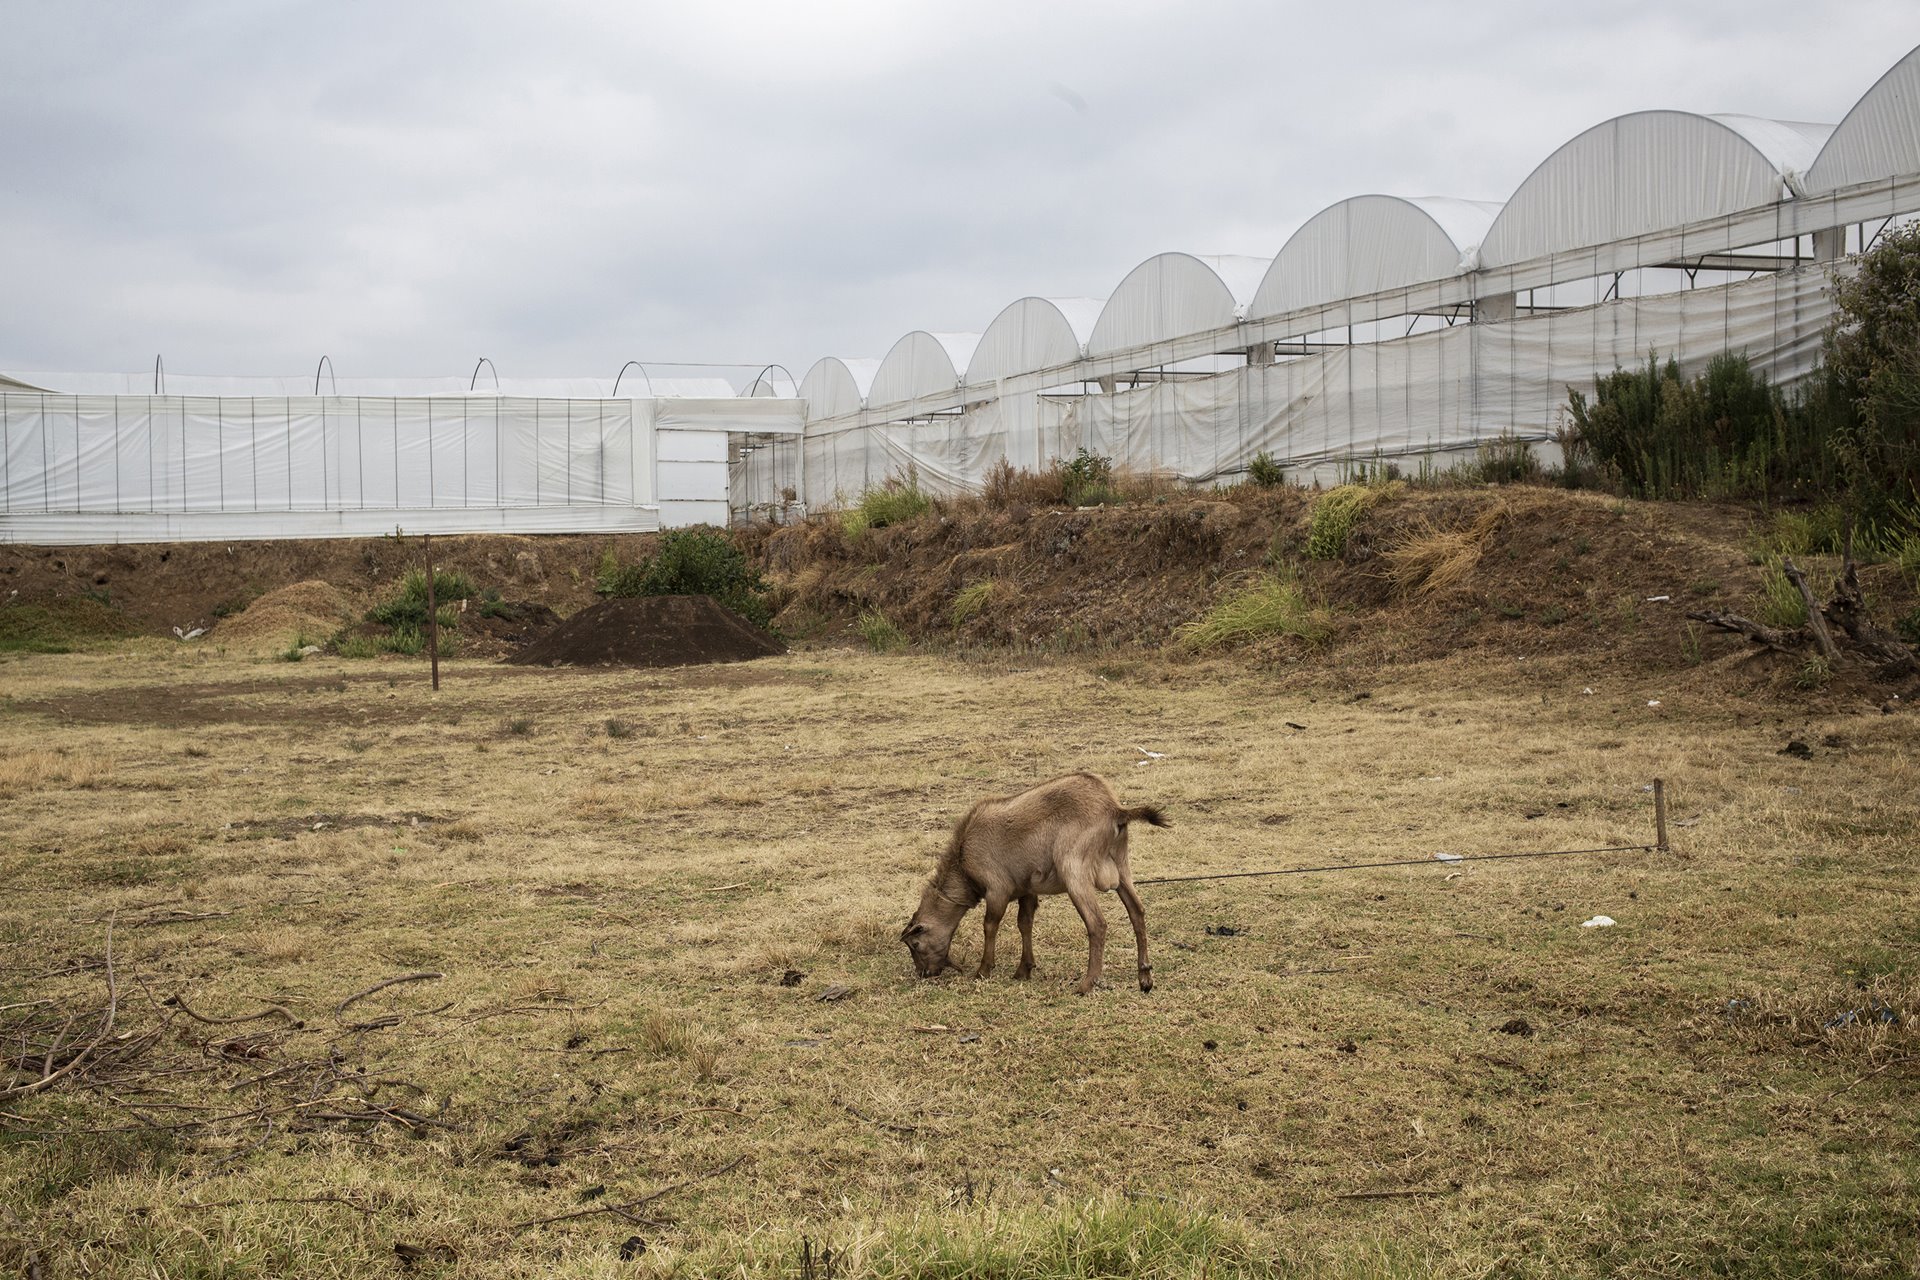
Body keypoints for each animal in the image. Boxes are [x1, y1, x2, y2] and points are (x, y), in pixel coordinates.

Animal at [902, 767, 1167, 997]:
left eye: (915, 944)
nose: (924, 973)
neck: (963, 858)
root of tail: (1115, 810)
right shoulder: (1026, 890)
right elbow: (1025, 923)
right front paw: (1023, 969)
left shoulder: (997, 890)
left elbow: (990, 925)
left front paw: (983, 970)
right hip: (1122, 868)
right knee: (1137, 912)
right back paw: (1145, 978)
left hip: (1075, 870)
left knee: (1097, 924)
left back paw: (1086, 984)